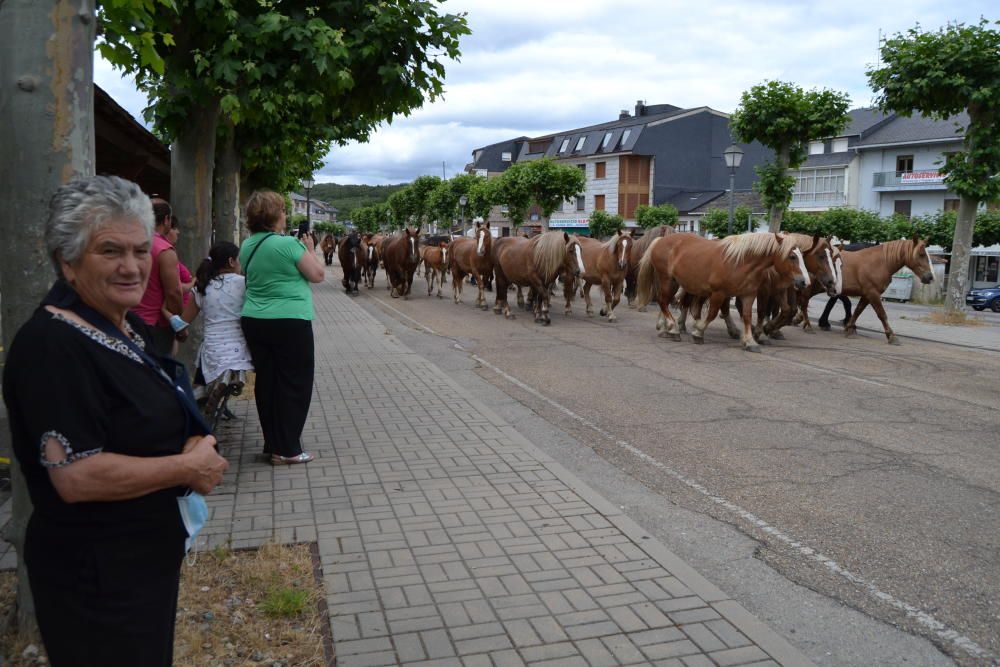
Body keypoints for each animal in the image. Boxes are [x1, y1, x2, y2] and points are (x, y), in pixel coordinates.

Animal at [640, 232, 812, 352]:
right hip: (667, 280)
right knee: (663, 301)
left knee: (668, 302)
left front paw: (750, 342)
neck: (740, 263)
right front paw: (698, 332)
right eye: (792, 256)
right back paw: (673, 328)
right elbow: (712, 314)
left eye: (802, 256)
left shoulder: (748, 295)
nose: (805, 282)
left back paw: (666, 328)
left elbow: (747, 317)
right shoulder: (719, 293)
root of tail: (660, 240)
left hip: (676, 283)